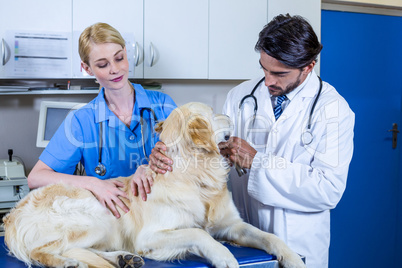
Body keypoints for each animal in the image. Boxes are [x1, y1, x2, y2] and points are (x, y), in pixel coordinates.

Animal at [2, 102, 304, 268]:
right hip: (94, 218)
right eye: (212, 113)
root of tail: (12, 217)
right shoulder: (150, 236)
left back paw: (123, 259)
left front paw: (293, 258)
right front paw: (224, 255)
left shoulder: (232, 225)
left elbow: (270, 236)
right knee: (44, 251)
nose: (230, 116)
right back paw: (67, 263)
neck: (196, 178)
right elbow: (198, 233)